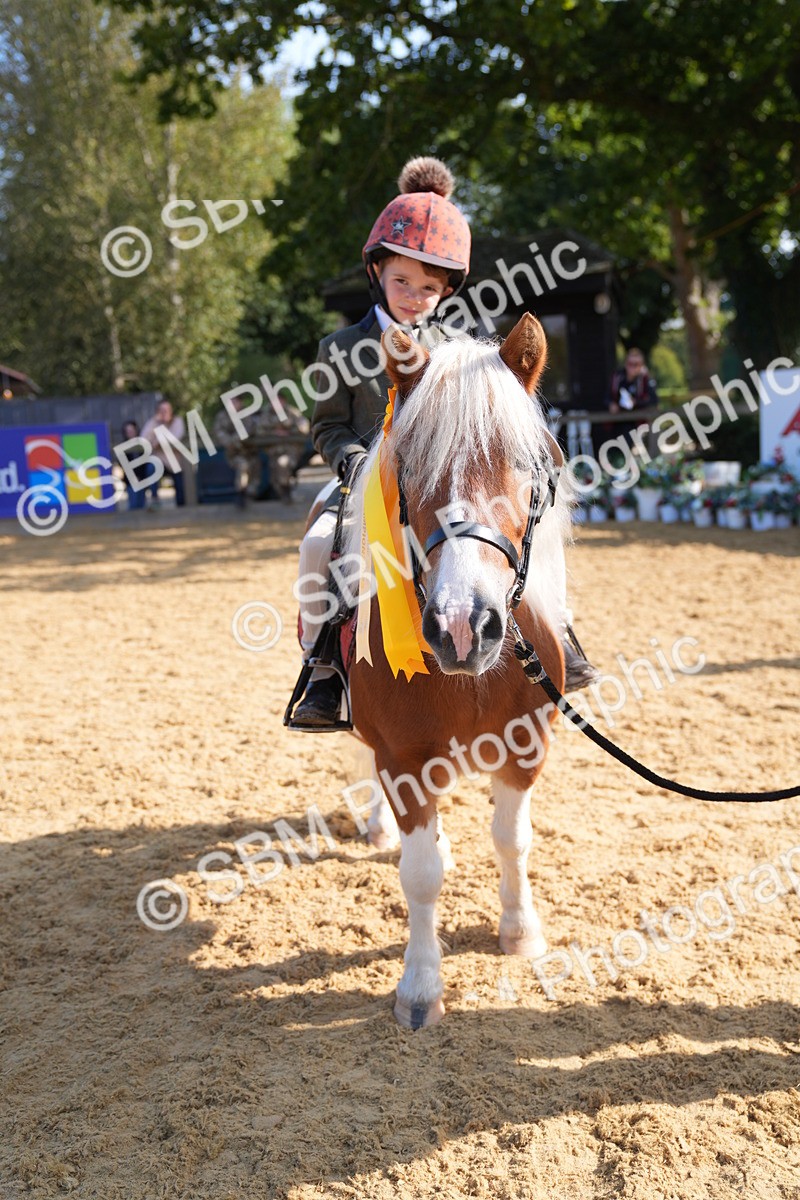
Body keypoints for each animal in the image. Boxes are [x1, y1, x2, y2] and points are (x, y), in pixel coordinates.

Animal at [342, 312, 570, 1029]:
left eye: (529, 470)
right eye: (412, 469)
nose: (463, 626)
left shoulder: (526, 746)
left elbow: (512, 840)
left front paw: (520, 932)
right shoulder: (403, 759)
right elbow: (420, 876)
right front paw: (420, 987)